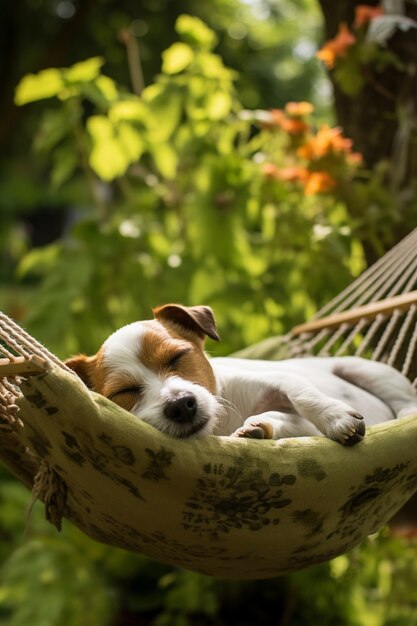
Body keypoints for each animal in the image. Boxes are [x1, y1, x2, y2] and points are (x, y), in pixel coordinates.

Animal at [65, 304, 416, 444]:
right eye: (124, 392)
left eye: (178, 356)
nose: (180, 405)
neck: (222, 424)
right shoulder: (300, 429)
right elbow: (285, 421)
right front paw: (259, 428)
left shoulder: (277, 380)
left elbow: (302, 396)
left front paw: (337, 419)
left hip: (367, 369)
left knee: (405, 397)